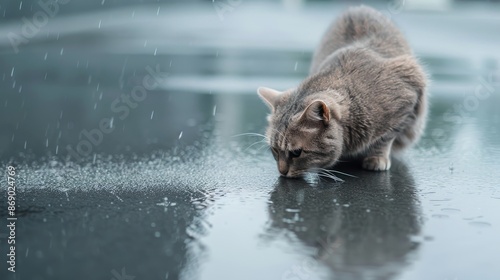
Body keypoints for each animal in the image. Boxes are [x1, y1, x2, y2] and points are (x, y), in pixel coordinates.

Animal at [258, 5, 426, 177]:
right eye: (274, 150)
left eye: (296, 152)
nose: (282, 172)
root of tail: (358, 7)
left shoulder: (408, 98)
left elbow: (385, 138)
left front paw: (377, 158)